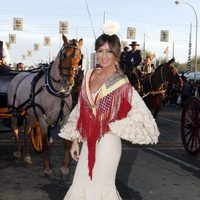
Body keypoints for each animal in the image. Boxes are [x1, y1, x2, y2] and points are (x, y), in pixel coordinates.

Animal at [7, 34, 83, 177]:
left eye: (80, 58)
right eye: (64, 55)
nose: (68, 82)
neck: (58, 92)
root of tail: (18, 74)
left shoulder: (64, 118)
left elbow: (66, 143)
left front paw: (64, 168)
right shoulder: (43, 119)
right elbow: (45, 143)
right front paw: (47, 168)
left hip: (32, 114)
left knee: (27, 130)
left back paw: (27, 156)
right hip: (15, 110)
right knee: (15, 129)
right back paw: (17, 151)